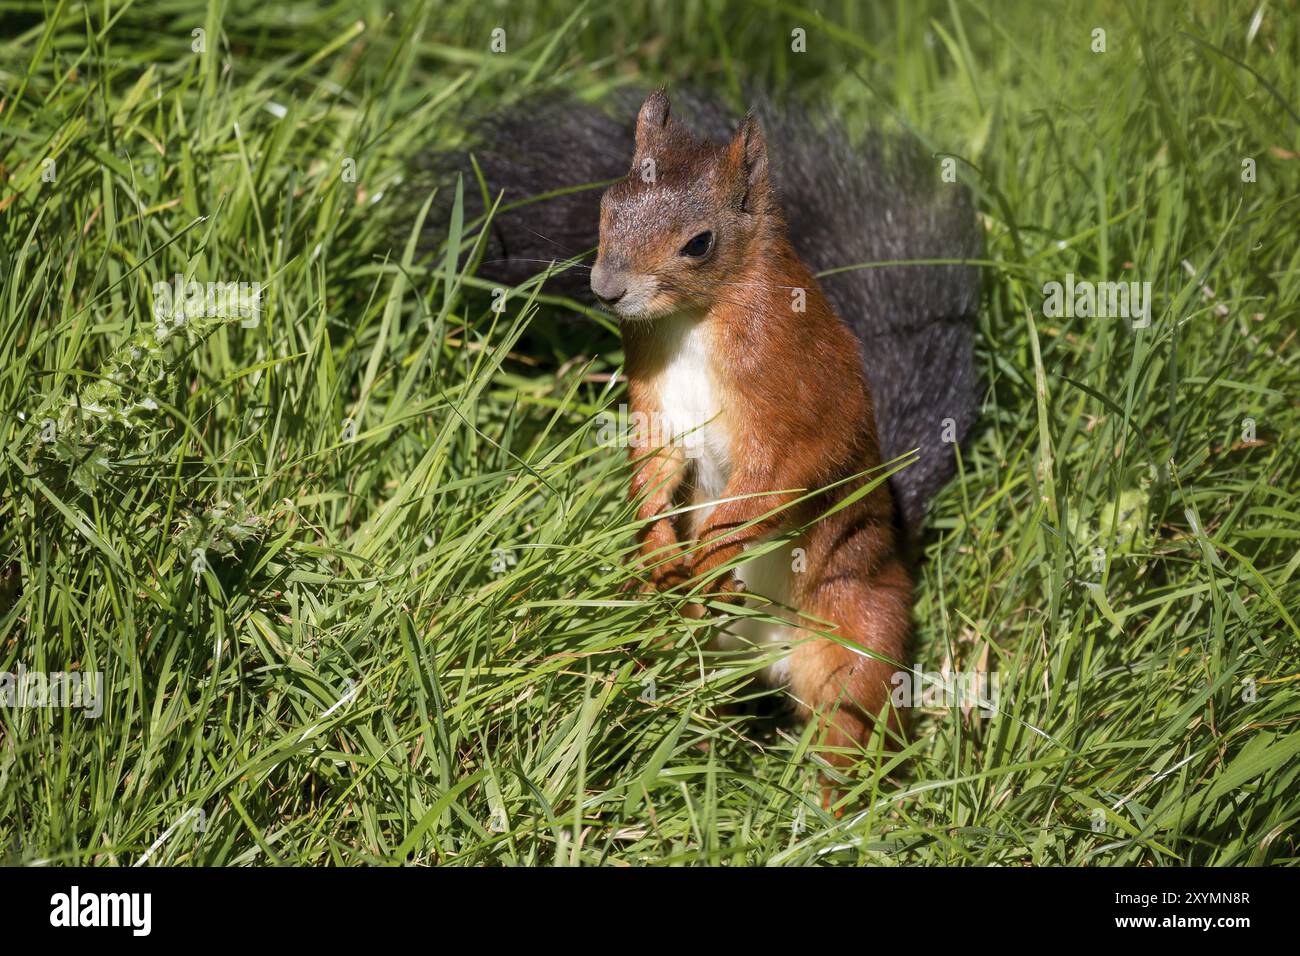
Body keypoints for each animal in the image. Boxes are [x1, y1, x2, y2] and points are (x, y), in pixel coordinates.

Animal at [592, 91, 915, 785]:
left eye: (700, 243)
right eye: (606, 204)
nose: (606, 290)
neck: (691, 320)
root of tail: (768, 661)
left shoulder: (795, 393)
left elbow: (782, 476)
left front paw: (714, 553)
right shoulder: (656, 398)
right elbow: (653, 467)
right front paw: (660, 549)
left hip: (858, 631)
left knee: (848, 726)